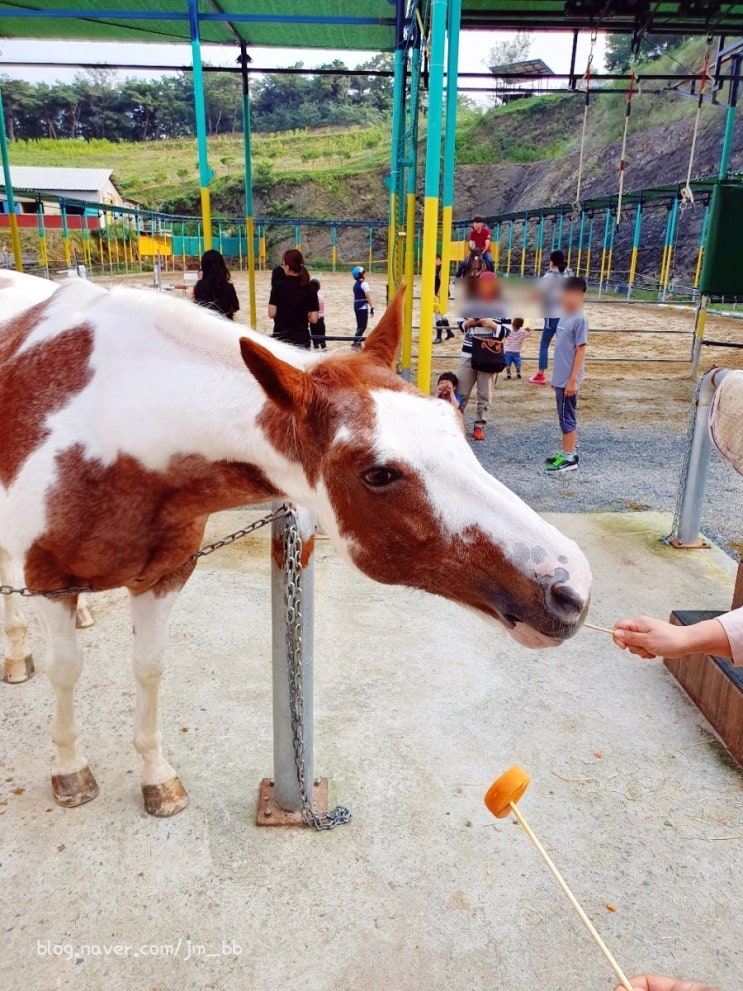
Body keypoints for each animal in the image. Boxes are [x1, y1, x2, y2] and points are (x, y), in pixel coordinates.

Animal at [1, 270, 592, 812]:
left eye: (451, 416)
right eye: (378, 474)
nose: (571, 587)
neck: (108, 425)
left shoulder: (166, 574)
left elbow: (149, 668)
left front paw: (156, 776)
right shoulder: (46, 579)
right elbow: (64, 671)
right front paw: (70, 771)